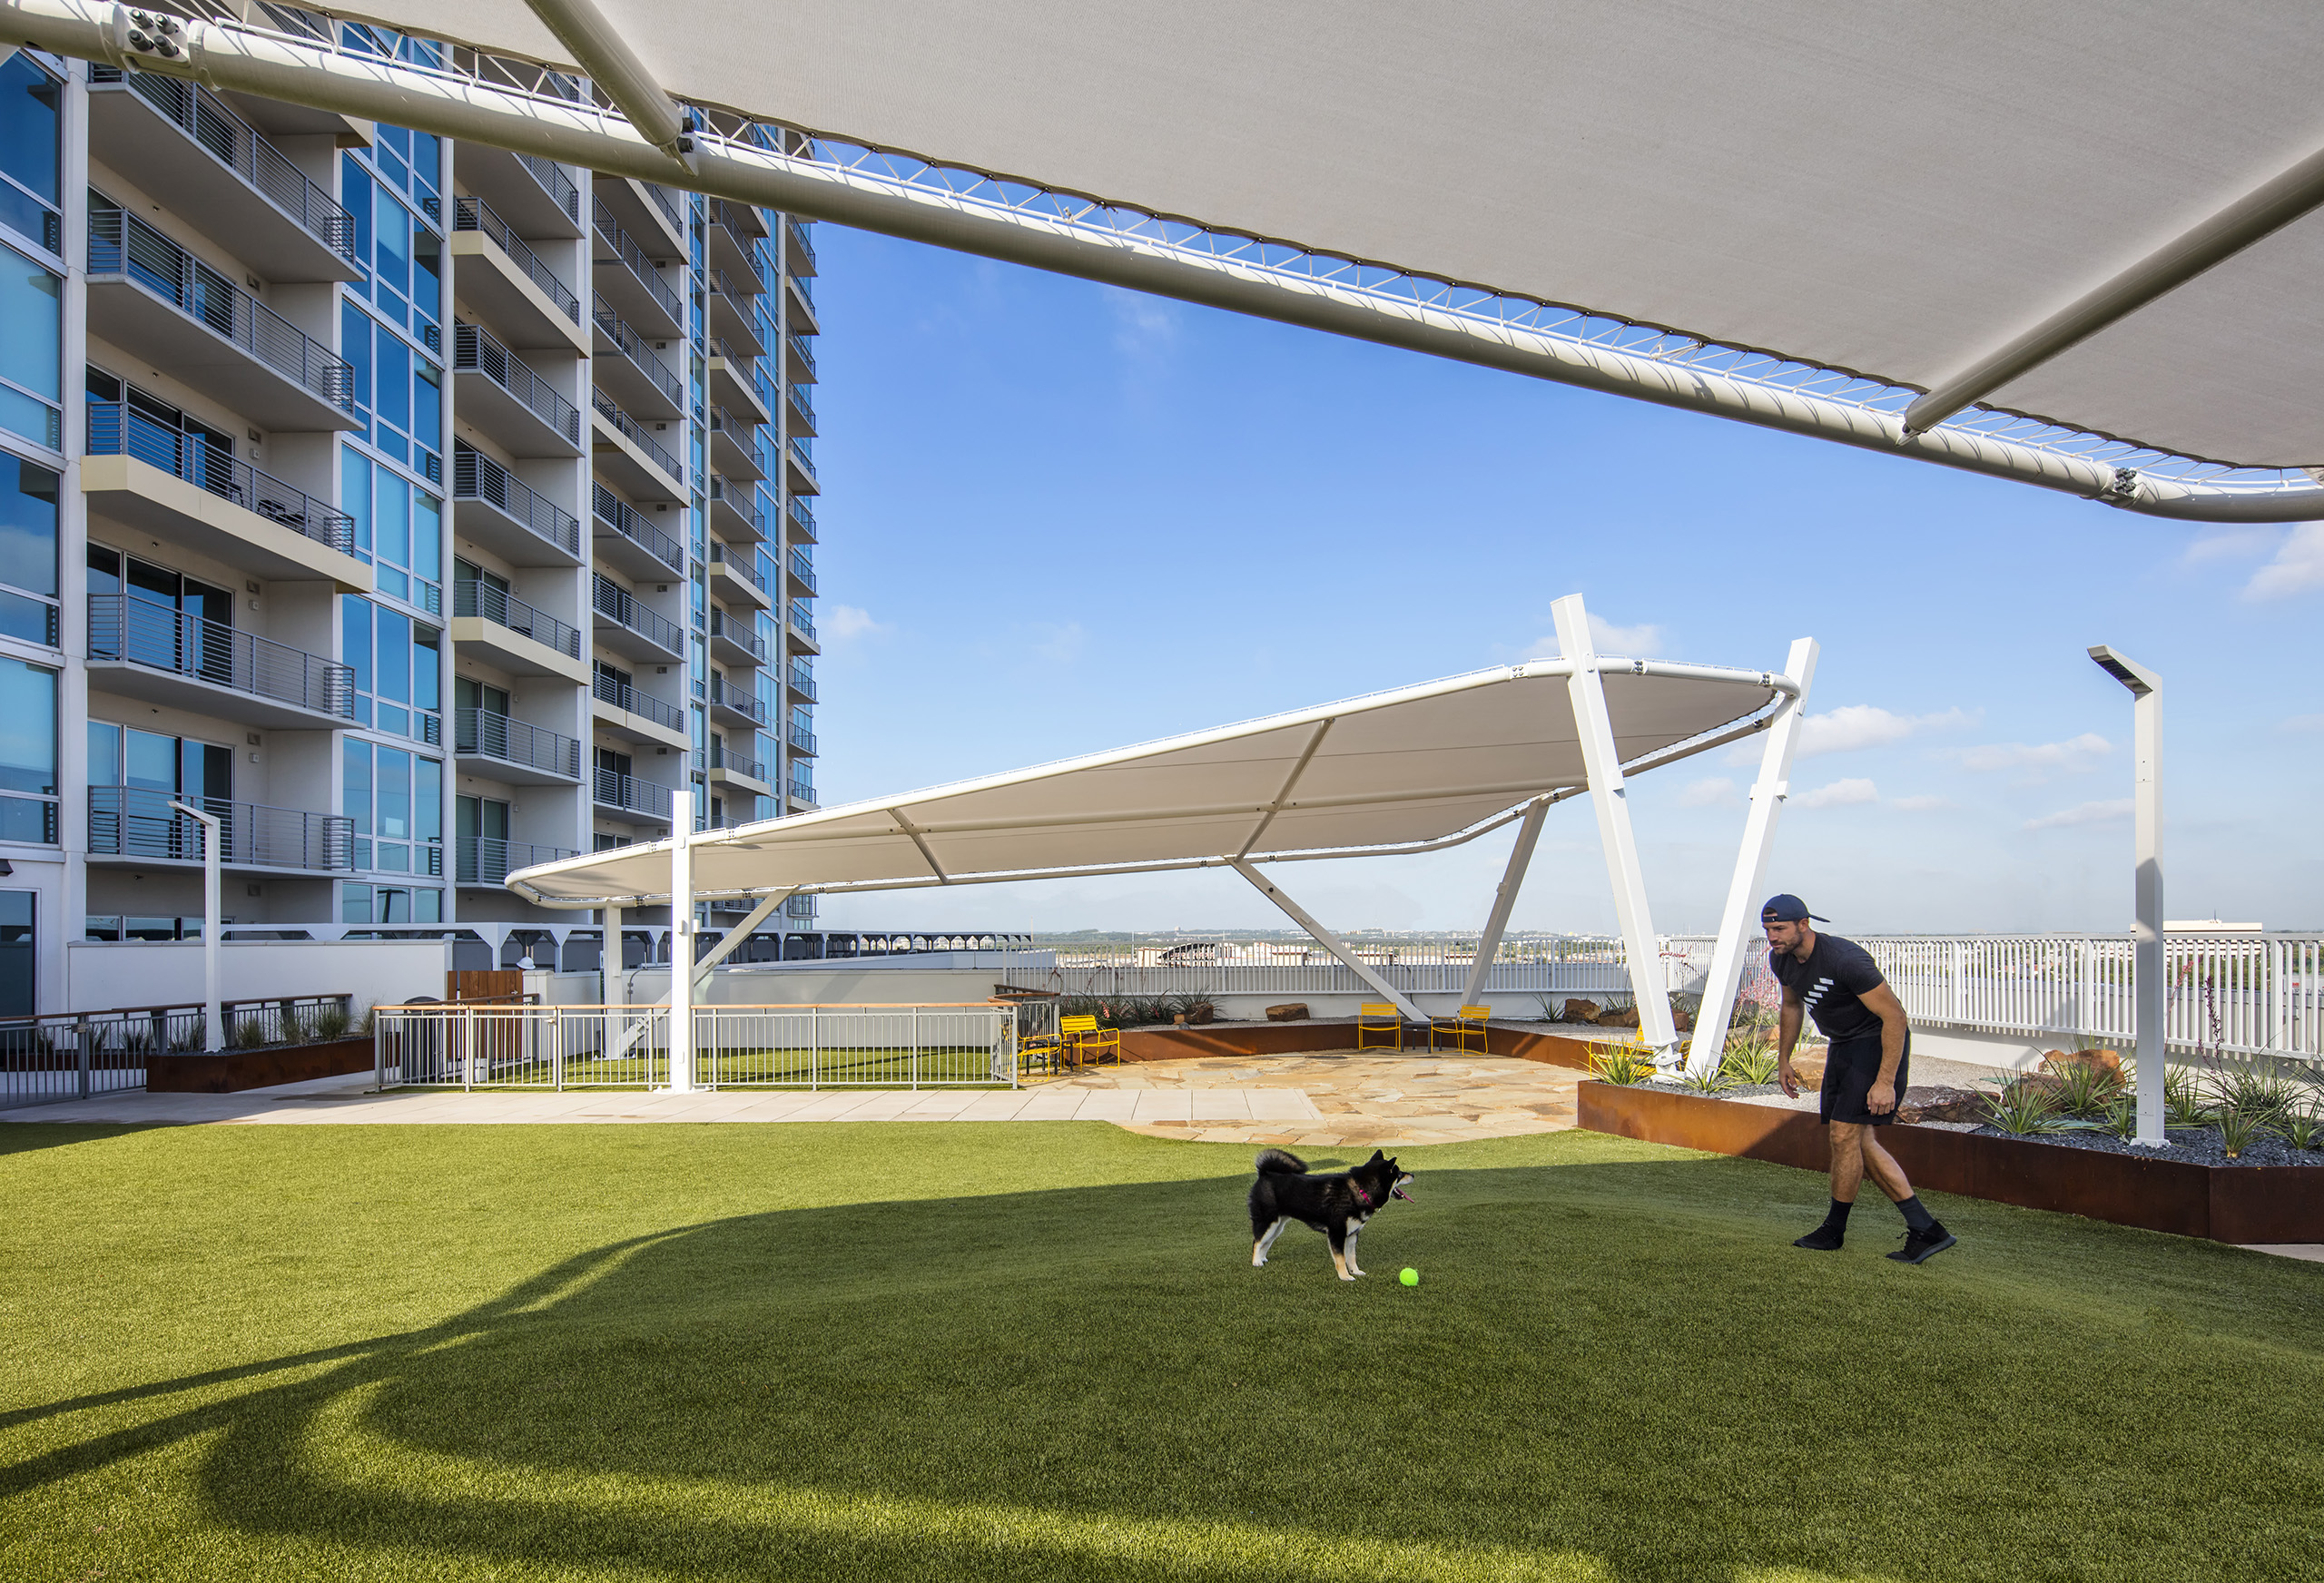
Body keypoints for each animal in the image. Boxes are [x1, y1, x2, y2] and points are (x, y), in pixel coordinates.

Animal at [1246, 1143, 1403, 1273]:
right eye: (1400, 1174)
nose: (1409, 1174)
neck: (1360, 1189)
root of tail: (1265, 1173)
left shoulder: (1352, 1234)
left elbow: (1351, 1258)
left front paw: (1356, 1272)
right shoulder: (1336, 1233)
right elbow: (1341, 1259)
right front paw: (1345, 1277)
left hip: (1277, 1227)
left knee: (1265, 1243)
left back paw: (1262, 1259)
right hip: (1267, 1222)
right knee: (1256, 1242)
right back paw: (1256, 1262)